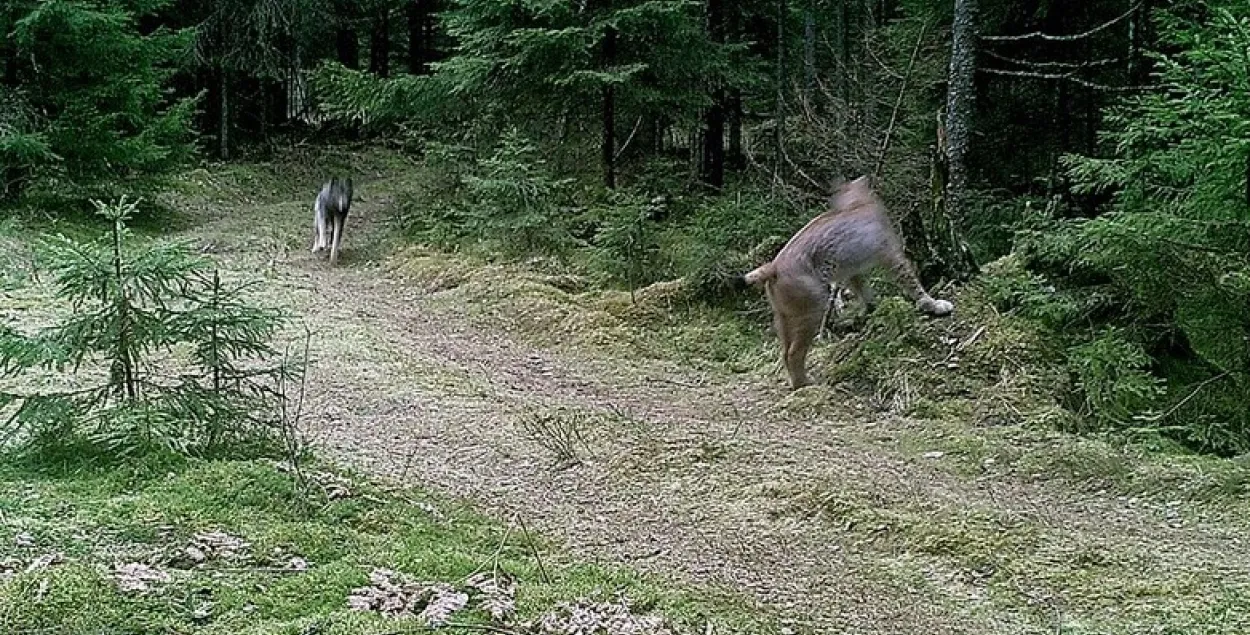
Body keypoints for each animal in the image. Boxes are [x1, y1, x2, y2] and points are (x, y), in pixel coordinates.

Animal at [735, 176, 950, 390]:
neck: (857, 202)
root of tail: (773, 266)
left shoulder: (853, 271)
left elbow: (864, 291)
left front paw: (870, 311)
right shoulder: (892, 255)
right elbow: (912, 283)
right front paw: (933, 304)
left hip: (783, 315)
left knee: (784, 351)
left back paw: (796, 381)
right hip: (813, 307)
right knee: (793, 352)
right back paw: (804, 383)